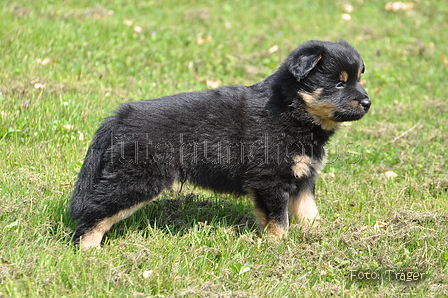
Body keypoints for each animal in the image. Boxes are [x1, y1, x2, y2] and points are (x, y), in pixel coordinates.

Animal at [70, 40, 372, 249]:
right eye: (338, 84)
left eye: (358, 79)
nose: (368, 102)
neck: (292, 109)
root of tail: (120, 116)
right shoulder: (270, 180)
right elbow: (278, 219)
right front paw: (279, 245)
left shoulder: (304, 177)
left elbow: (309, 212)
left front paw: (318, 236)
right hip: (137, 178)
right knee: (96, 211)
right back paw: (88, 249)